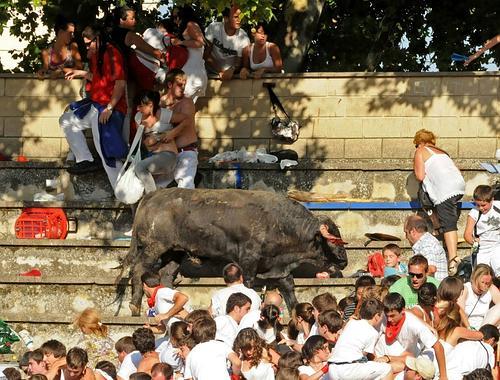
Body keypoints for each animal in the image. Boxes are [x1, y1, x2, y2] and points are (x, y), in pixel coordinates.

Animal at [118, 188, 346, 314]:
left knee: (166, 274)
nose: (344, 261)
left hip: (175, 252)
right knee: (138, 269)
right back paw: (135, 307)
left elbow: (289, 287)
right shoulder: (249, 260)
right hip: (154, 246)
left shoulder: (277, 266)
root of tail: (151, 196)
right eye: (333, 240)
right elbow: (249, 284)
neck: (279, 223)